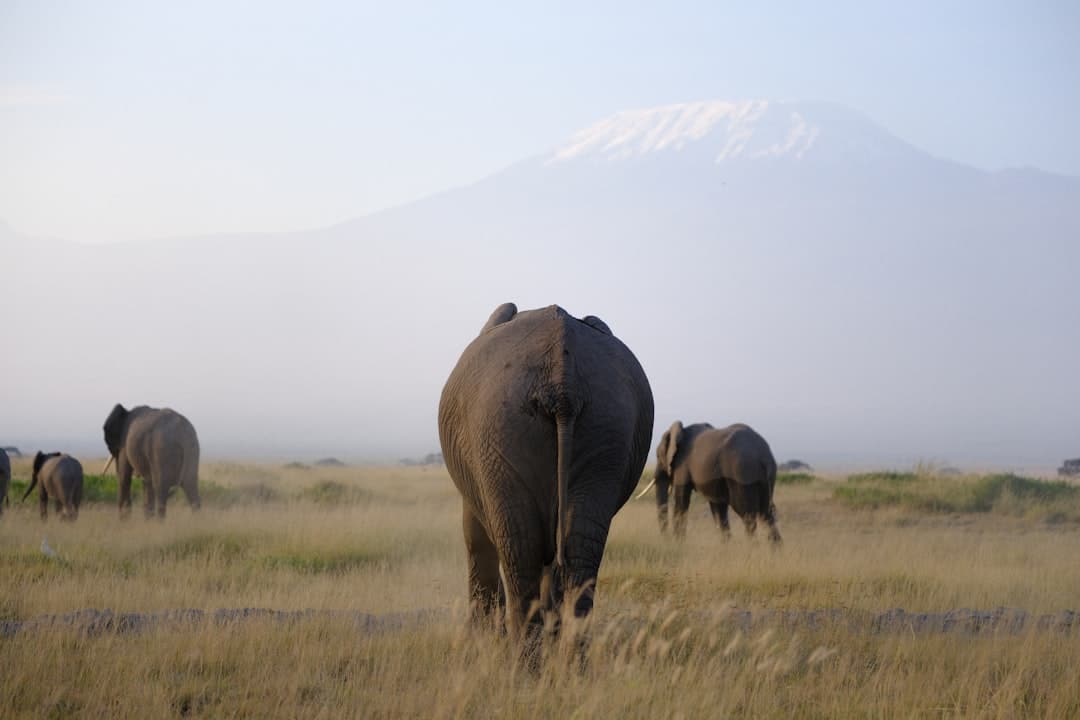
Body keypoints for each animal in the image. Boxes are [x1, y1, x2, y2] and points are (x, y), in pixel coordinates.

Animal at [438, 303, 654, 642]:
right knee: (577, 552)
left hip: (497, 427)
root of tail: (562, 384)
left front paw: (482, 639)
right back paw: (567, 655)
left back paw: (522, 655)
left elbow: (475, 537)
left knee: (522, 553)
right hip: (608, 424)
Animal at [640, 421, 781, 543]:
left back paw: (752, 550)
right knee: (766, 514)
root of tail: (763, 455)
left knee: (747, 514)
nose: (666, 540)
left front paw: (678, 544)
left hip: (741, 472)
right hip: (763, 477)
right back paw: (775, 552)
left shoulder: (682, 464)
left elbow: (681, 502)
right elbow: (718, 510)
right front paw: (726, 547)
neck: (680, 431)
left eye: (658, 456)